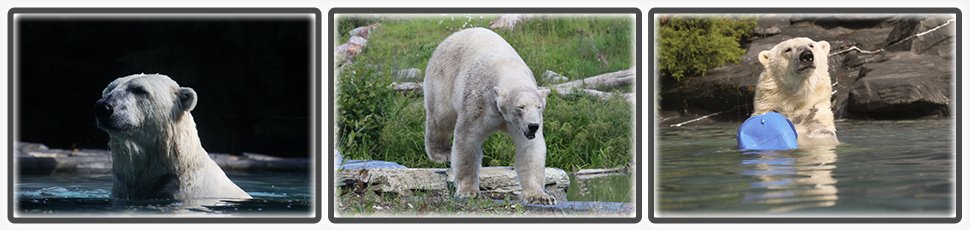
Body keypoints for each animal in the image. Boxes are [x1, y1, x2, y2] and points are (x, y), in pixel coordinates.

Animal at [422, 27, 556, 205]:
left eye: (539, 106)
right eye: (520, 107)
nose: (533, 126)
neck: (508, 71)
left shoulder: (520, 125)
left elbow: (530, 149)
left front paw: (540, 196)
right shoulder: (479, 103)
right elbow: (467, 140)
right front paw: (468, 191)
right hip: (443, 76)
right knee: (440, 117)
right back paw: (441, 153)